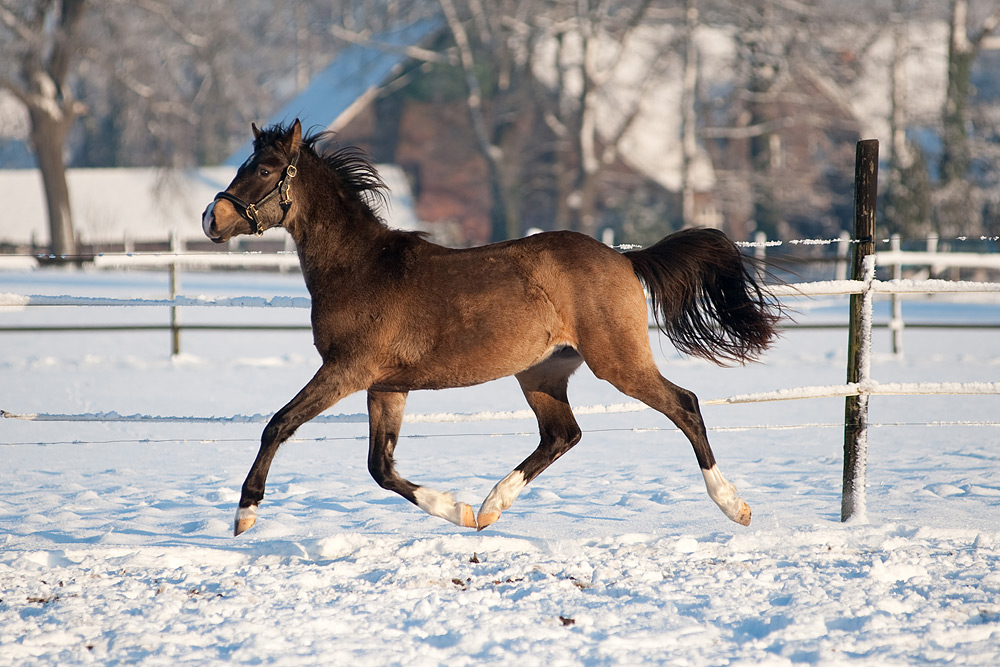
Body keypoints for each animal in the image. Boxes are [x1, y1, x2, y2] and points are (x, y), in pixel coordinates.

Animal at [203, 121, 780, 536]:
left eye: (267, 169)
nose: (212, 219)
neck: (360, 267)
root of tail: (624, 258)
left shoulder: (347, 370)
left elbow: (279, 424)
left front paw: (245, 515)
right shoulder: (387, 385)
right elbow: (380, 466)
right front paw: (456, 511)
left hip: (617, 362)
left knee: (684, 405)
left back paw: (735, 507)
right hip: (541, 373)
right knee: (562, 434)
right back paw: (488, 507)